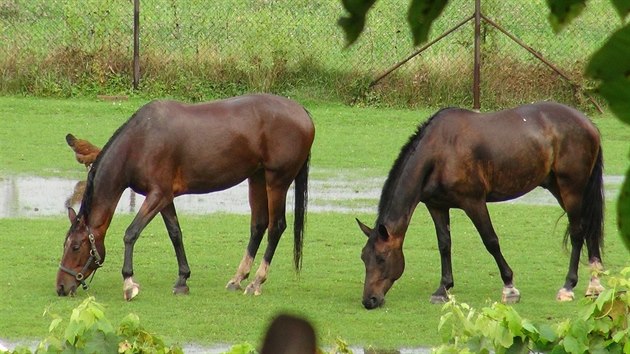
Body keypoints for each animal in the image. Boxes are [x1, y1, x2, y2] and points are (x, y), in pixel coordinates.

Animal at [56, 93, 316, 298]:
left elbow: (131, 233)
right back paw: (238, 278)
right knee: (259, 224)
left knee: (276, 227)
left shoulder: (157, 195)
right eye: (65, 244)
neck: (142, 140)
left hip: (277, 181)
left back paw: (256, 282)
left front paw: (129, 283)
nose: (60, 286)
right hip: (258, 177)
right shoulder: (164, 197)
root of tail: (301, 111)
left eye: (76, 246)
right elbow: (175, 233)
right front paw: (182, 279)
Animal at [356, 102, 608, 310]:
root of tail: (589, 124)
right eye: (363, 258)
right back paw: (594, 284)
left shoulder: (474, 202)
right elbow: (444, 244)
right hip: (560, 188)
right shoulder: (437, 206)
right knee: (588, 229)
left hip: (571, 189)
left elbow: (491, 241)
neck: (440, 151)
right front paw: (443, 288)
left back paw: (568, 286)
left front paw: (509, 287)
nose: (369, 300)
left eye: (381, 258)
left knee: (577, 232)